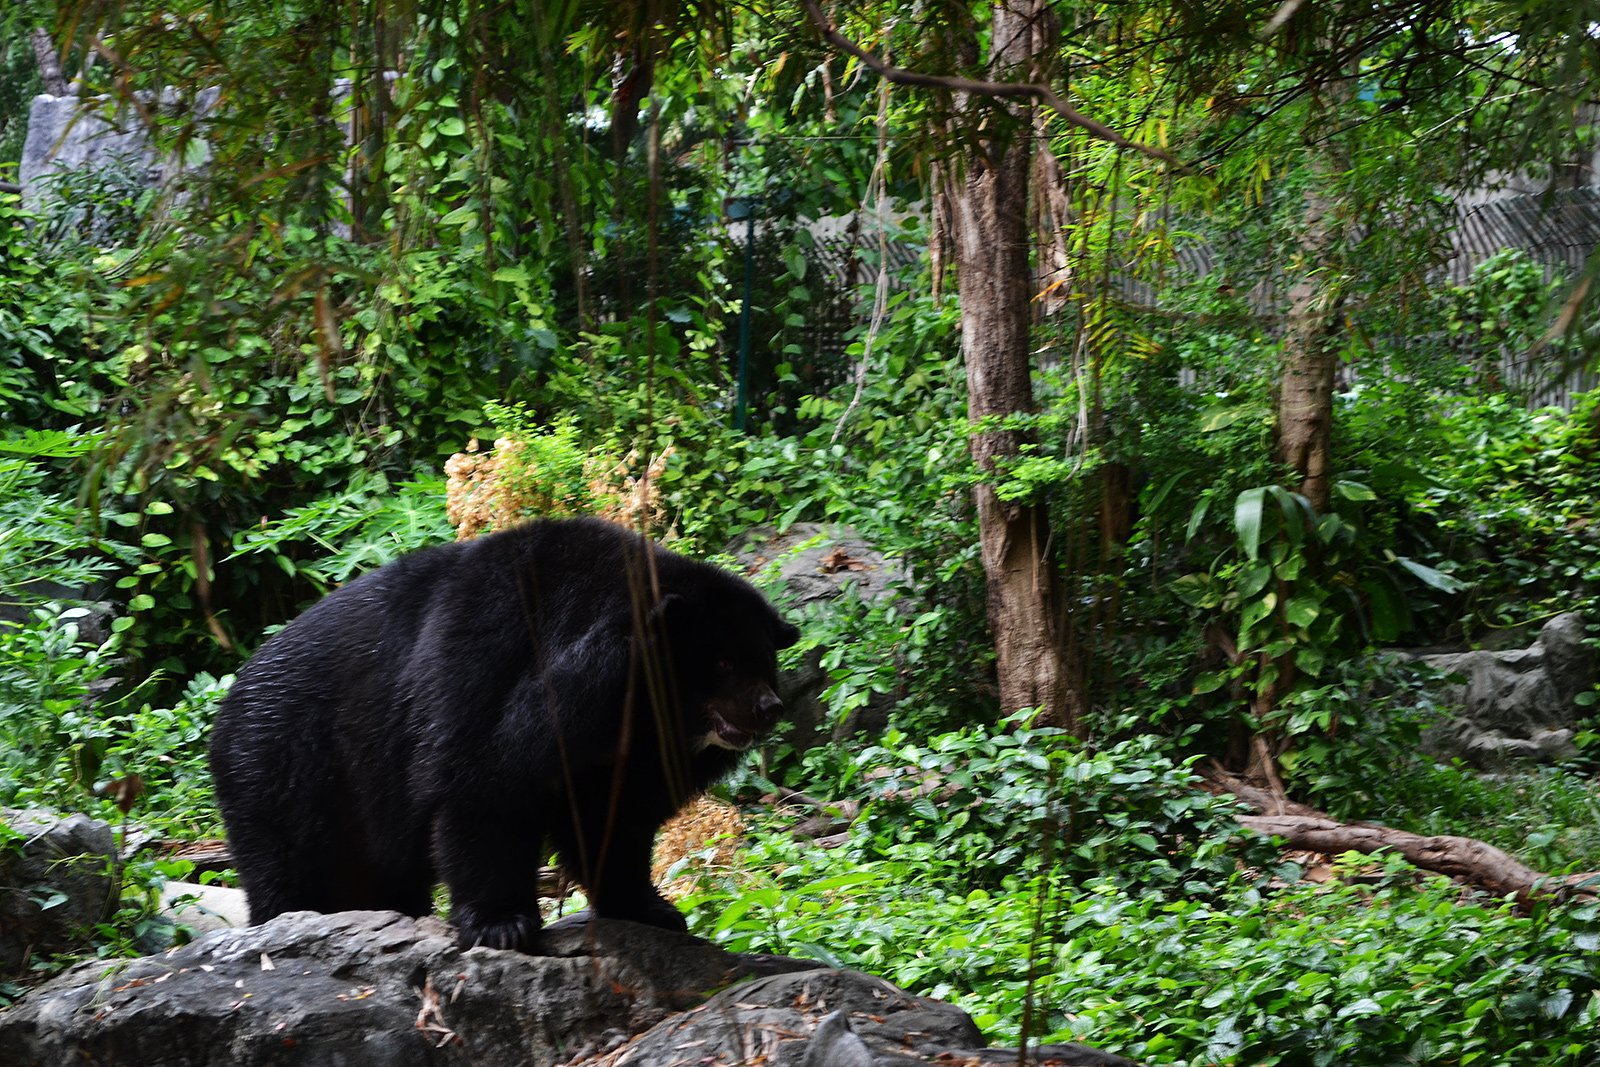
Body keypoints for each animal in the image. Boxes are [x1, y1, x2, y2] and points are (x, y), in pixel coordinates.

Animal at [209, 518, 796, 953]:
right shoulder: (485, 672)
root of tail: (227, 701)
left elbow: (614, 820)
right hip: (283, 769)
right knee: (291, 868)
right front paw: (502, 925)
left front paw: (653, 910)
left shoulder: (621, 755)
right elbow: (482, 789)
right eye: (722, 662)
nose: (768, 708)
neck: (627, 711)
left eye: (763, 659)